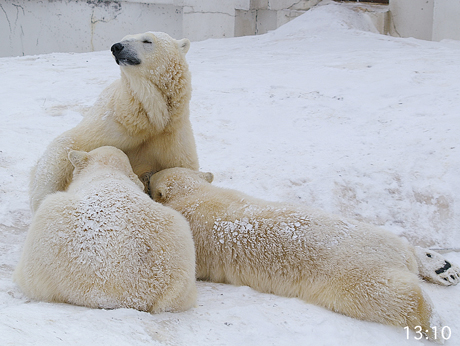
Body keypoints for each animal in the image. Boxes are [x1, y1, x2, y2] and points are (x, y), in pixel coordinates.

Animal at [28, 31, 198, 212]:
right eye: (124, 38)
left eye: (147, 40)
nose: (116, 47)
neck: (149, 120)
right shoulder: (112, 127)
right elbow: (67, 145)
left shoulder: (171, 137)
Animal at [150, 168, 460, 340]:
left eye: (152, 178)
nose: (146, 173)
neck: (196, 194)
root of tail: (396, 258)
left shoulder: (194, 232)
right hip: (379, 238)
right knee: (405, 250)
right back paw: (443, 267)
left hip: (351, 273)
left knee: (389, 297)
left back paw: (435, 323)